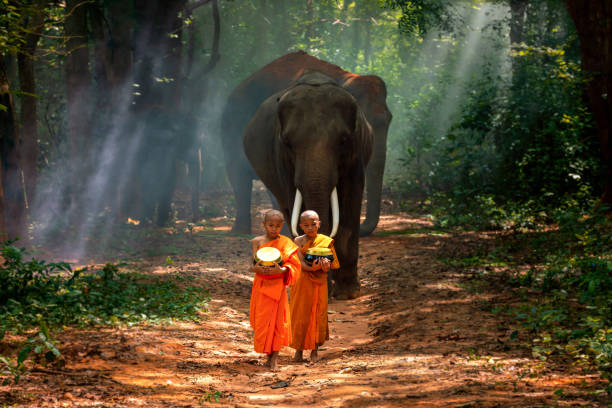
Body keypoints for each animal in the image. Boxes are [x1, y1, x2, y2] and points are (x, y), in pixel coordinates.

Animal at [244, 70, 372, 300]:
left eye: (343, 140)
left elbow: (350, 200)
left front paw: (347, 293)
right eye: (287, 142)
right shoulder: (282, 161)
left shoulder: (356, 154)